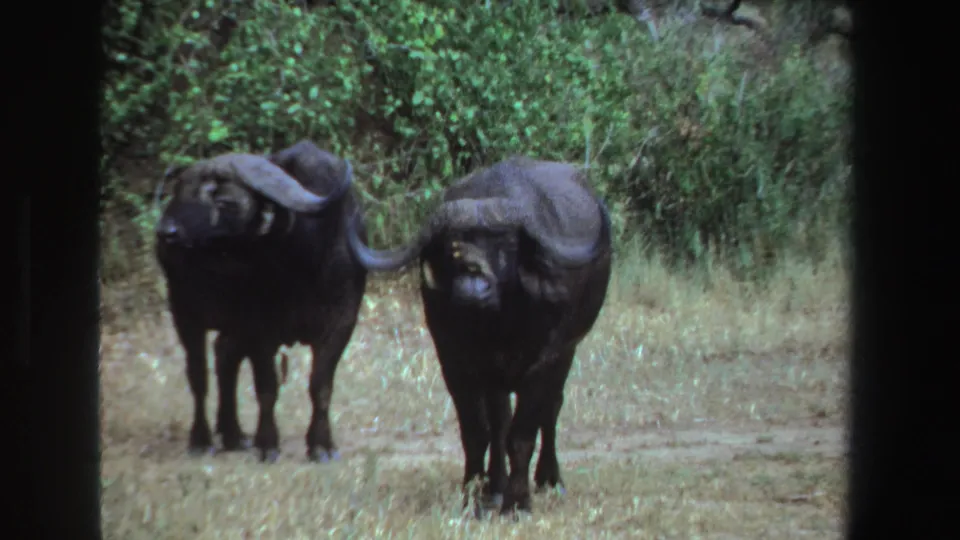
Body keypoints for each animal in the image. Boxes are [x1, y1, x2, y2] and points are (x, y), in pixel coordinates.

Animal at [155, 140, 368, 463]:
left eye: (224, 200)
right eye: (180, 191)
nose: (167, 231)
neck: (306, 263)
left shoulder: (342, 321)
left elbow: (321, 385)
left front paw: (321, 445)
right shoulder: (260, 328)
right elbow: (267, 387)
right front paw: (268, 444)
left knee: (224, 356)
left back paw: (233, 433)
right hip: (185, 311)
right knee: (198, 374)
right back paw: (202, 439)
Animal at [343, 156, 613, 514]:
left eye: (507, 244)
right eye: (452, 246)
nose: (472, 285)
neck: (498, 326)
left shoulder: (546, 360)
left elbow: (522, 433)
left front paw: (518, 502)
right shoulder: (455, 362)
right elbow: (478, 432)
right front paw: (474, 495)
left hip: (567, 353)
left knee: (552, 409)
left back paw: (549, 479)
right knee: (500, 423)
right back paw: (496, 487)